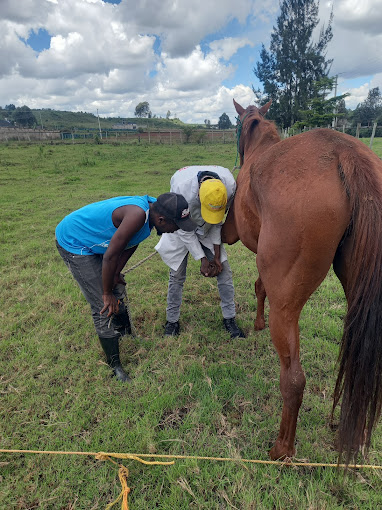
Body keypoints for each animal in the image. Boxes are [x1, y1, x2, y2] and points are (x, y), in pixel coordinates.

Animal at [222, 98, 382, 462]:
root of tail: (345, 152)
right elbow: (259, 286)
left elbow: (257, 284)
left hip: (286, 310)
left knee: (293, 380)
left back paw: (282, 448)